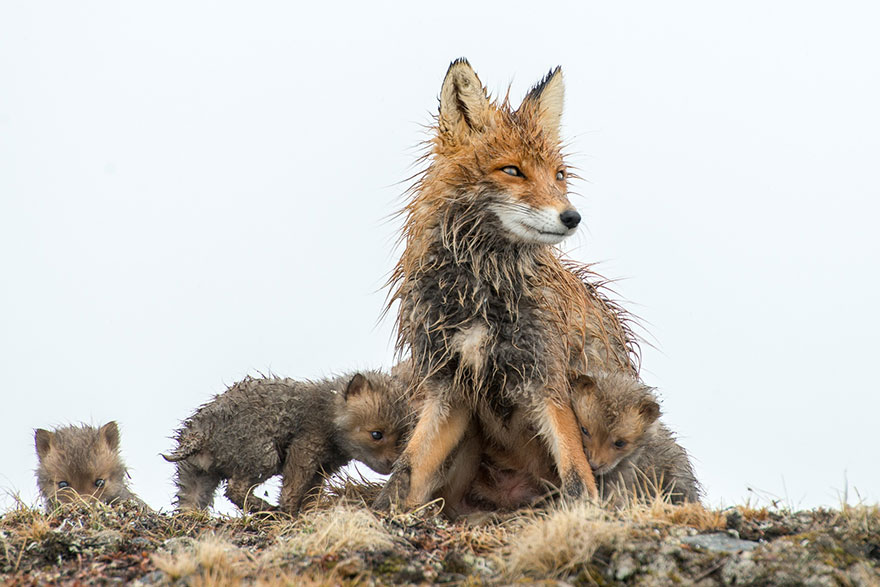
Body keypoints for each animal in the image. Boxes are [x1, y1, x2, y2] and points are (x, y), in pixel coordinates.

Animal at [164, 372, 409, 515]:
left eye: (405, 435)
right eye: (377, 434)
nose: (393, 464)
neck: (327, 411)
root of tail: (201, 433)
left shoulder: (323, 467)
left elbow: (312, 492)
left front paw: (308, 511)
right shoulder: (303, 449)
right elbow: (292, 487)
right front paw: (289, 512)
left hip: (195, 476)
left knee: (187, 506)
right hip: (264, 457)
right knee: (235, 489)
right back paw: (264, 509)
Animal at [374, 59, 639, 513]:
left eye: (559, 175)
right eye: (512, 170)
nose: (572, 217)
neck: (480, 291)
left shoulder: (547, 382)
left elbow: (577, 477)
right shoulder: (448, 388)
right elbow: (406, 471)